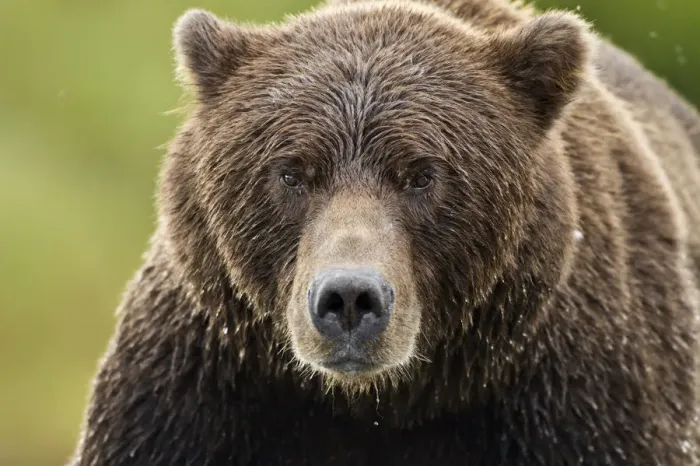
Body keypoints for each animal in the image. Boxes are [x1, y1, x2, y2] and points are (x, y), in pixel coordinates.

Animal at [68, 0, 700, 464]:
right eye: (291, 171)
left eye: (421, 173)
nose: (349, 298)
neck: (385, 402)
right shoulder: (201, 392)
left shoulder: (576, 396)